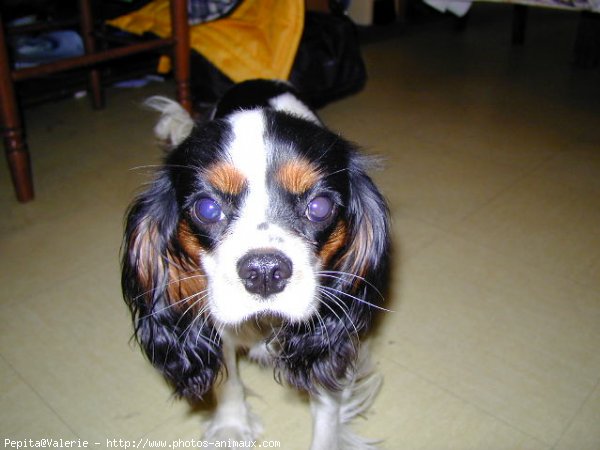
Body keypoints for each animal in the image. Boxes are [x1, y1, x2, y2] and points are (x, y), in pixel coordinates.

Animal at [123, 80, 392, 450]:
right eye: (207, 208)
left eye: (319, 207)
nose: (265, 271)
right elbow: (227, 380)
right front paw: (231, 426)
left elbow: (326, 404)